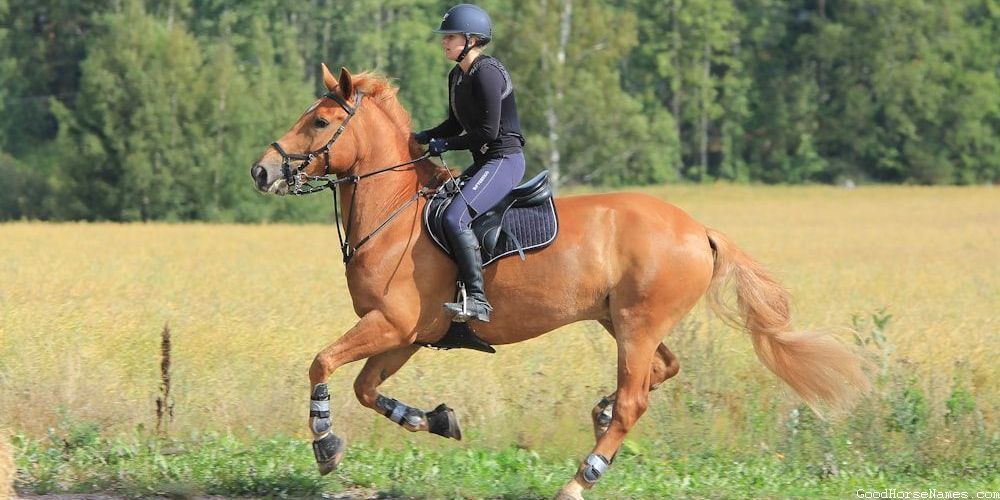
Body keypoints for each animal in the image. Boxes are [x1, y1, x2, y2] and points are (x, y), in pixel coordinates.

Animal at [250, 64, 871, 499]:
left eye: (320, 122)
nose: (262, 170)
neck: (395, 211)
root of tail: (699, 230)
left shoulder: (392, 324)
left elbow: (322, 364)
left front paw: (325, 445)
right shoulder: (408, 335)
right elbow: (365, 388)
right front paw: (438, 420)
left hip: (636, 325)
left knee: (635, 400)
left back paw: (581, 477)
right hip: (624, 321)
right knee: (661, 372)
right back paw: (599, 415)